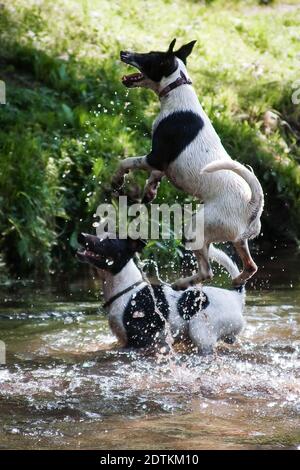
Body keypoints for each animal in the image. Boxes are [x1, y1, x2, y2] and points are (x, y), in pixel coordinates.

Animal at [76, 233, 245, 354]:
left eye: (109, 240)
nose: (81, 236)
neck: (126, 289)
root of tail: (236, 297)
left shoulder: (138, 340)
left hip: (199, 330)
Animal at [111, 39, 264, 290]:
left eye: (148, 56)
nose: (124, 52)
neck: (176, 90)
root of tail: (253, 205)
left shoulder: (155, 155)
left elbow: (127, 162)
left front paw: (117, 179)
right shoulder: (162, 162)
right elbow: (155, 175)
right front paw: (150, 191)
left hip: (195, 228)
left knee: (207, 271)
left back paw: (181, 283)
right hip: (237, 240)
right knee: (250, 266)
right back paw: (235, 280)